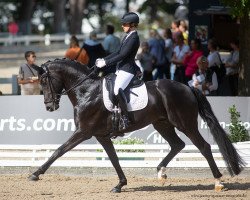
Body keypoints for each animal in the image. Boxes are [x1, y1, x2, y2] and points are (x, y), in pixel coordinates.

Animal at [28, 58, 244, 193]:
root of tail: (187, 87)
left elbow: (59, 151)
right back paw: (161, 172)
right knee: (177, 145)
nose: (49, 107)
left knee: (204, 147)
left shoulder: (83, 132)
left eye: (44, 80)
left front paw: (35, 174)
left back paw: (218, 182)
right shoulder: (101, 135)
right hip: (162, 124)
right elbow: (114, 159)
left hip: (185, 124)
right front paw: (120, 185)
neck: (87, 91)